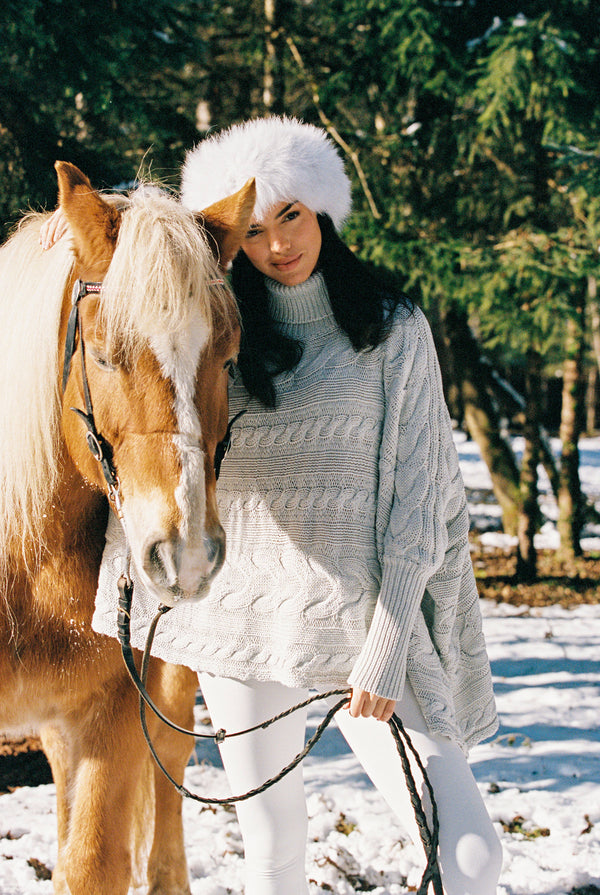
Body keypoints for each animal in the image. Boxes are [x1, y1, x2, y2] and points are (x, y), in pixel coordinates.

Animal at [0, 163, 255, 895]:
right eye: (106, 356)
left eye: (228, 359)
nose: (186, 556)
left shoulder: (108, 720)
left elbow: (94, 865)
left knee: (169, 757)